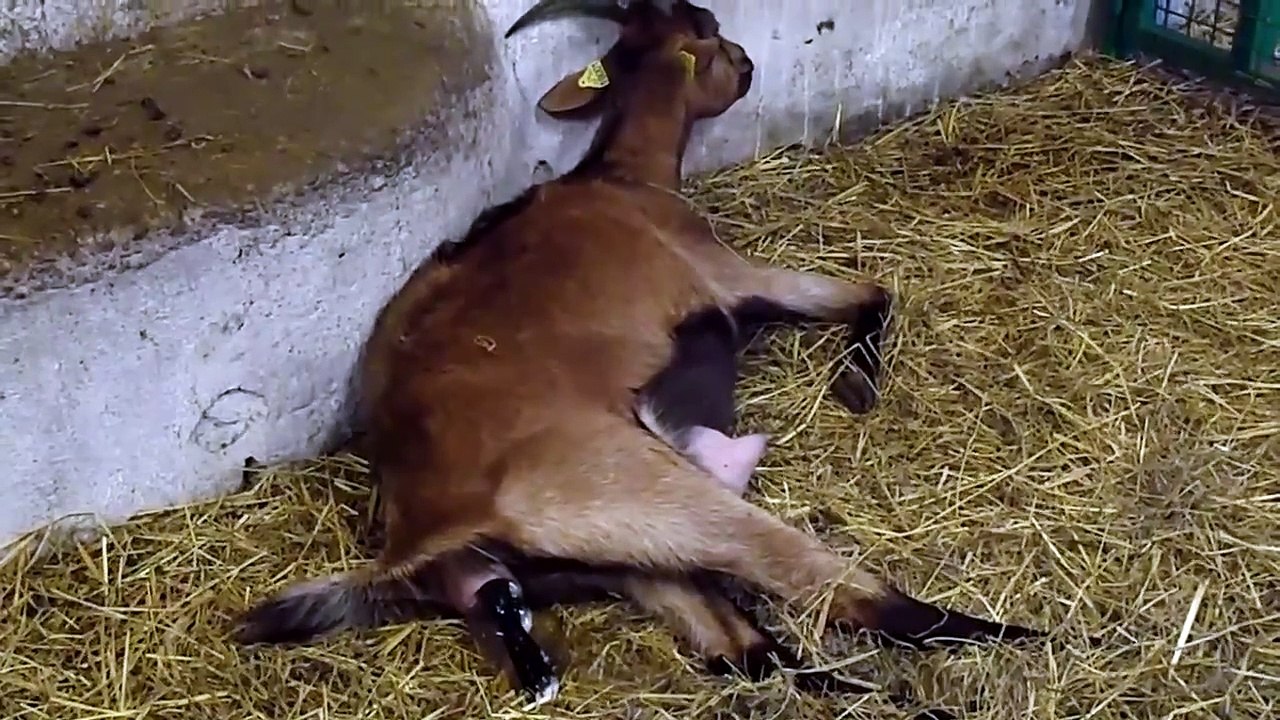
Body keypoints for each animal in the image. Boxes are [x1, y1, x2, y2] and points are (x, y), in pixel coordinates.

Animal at [234, 0, 1048, 706]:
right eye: (709, 29)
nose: (748, 63)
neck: (621, 175)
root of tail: (427, 527)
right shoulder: (728, 273)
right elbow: (872, 292)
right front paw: (858, 385)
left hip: (627, 556)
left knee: (745, 650)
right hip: (643, 490)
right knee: (841, 595)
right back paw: (1017, 638)